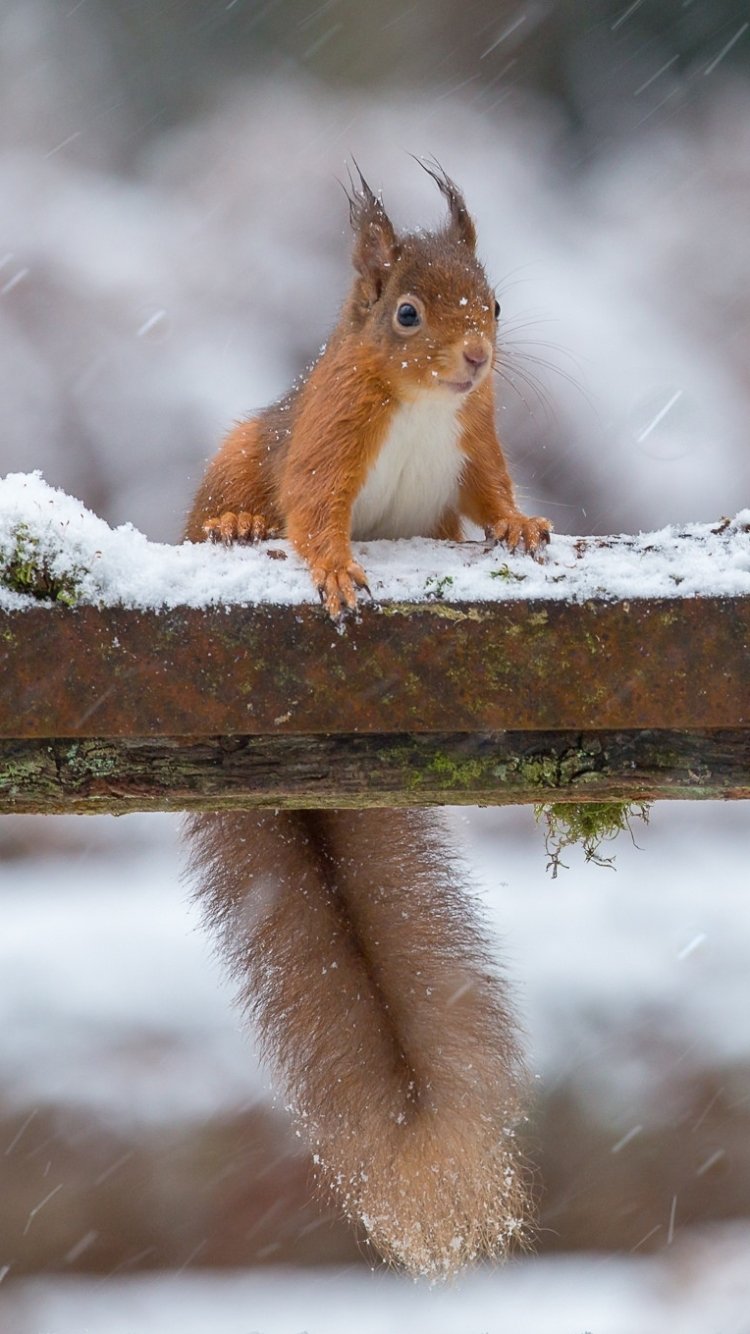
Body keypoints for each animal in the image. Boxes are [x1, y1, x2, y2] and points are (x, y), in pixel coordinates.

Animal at [184, 163, 551, 1279]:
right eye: (407, 314)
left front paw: (522, 525)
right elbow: (313, 507)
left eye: (495, 305)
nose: (477, 361)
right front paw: (339, 571)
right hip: (241, 449)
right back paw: (234, 523)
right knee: (244, 499)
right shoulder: (327, 437)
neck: (429, 405)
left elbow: (493, 490)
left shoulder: (478, 439)